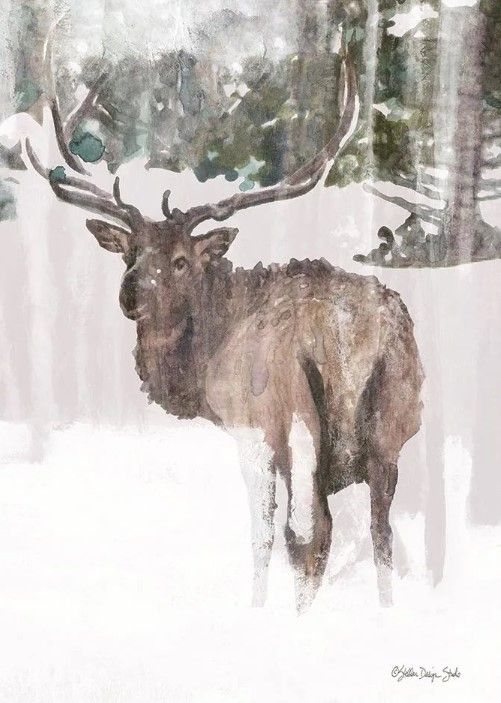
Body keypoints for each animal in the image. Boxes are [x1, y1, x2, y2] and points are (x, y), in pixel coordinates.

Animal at [22, 39, 423, 611]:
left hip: (292, 424)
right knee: (380, 534)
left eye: (181, 260)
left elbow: (264, 534)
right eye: (130, 254)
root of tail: (353, 336)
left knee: (309, 533)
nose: (130, 293)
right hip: (393, 428)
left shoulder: (250, 431)